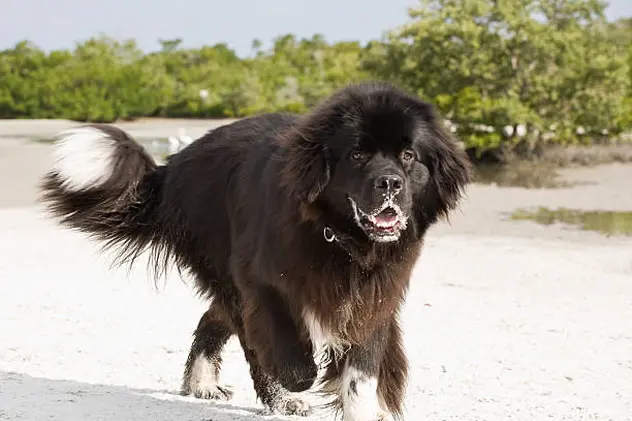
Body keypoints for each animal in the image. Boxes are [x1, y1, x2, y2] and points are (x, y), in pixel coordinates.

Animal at [39, 80, 472, 418]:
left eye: (408, 156)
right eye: (357, 154)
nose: (390, 183)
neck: (341, 238)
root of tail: (173, 165)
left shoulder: (374, 298)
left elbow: (360, 372)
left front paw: (362, 409)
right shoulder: (262, 282)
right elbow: (283, 349)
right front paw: (297, 379)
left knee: (213, 319)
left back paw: (203, 383)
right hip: (224, 266)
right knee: (244, 334)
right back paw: (277, 399)